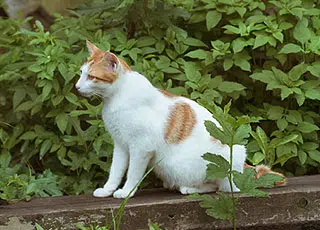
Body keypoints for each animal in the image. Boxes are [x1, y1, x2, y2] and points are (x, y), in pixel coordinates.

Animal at [76, 41, 286, 198]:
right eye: (81, 73)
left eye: (92, 77)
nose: (76, 86)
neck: (116, 98)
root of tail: (242, 164)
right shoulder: (120, 145)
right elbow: (116, 170)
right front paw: (108, 190)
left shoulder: (141, 147)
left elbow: (133, 173)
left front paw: (126, 192)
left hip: (200, 163)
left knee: (222, 187)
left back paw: (188, 188)